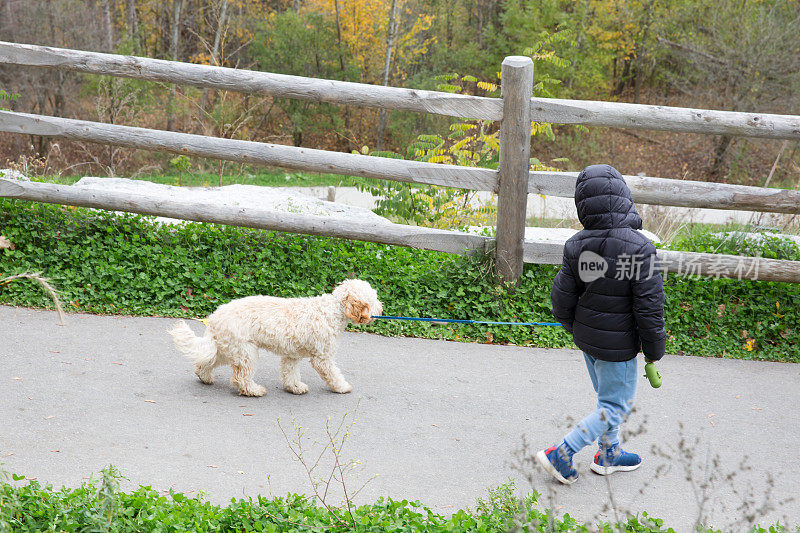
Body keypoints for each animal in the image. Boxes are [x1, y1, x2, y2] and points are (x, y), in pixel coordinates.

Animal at [167, 278, 382, 394]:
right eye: (373, 299)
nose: (381, 309)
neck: (333, 310)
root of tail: (216, 316)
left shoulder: (292, 355)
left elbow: (290, 373)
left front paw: (294, 387)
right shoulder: (323, 357)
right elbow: (333, 374)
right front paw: (342, 387)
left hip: (227, 348)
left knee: (205, 361)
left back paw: (205, 377)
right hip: (246, 352)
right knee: (241, 377)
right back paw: (254, 391)